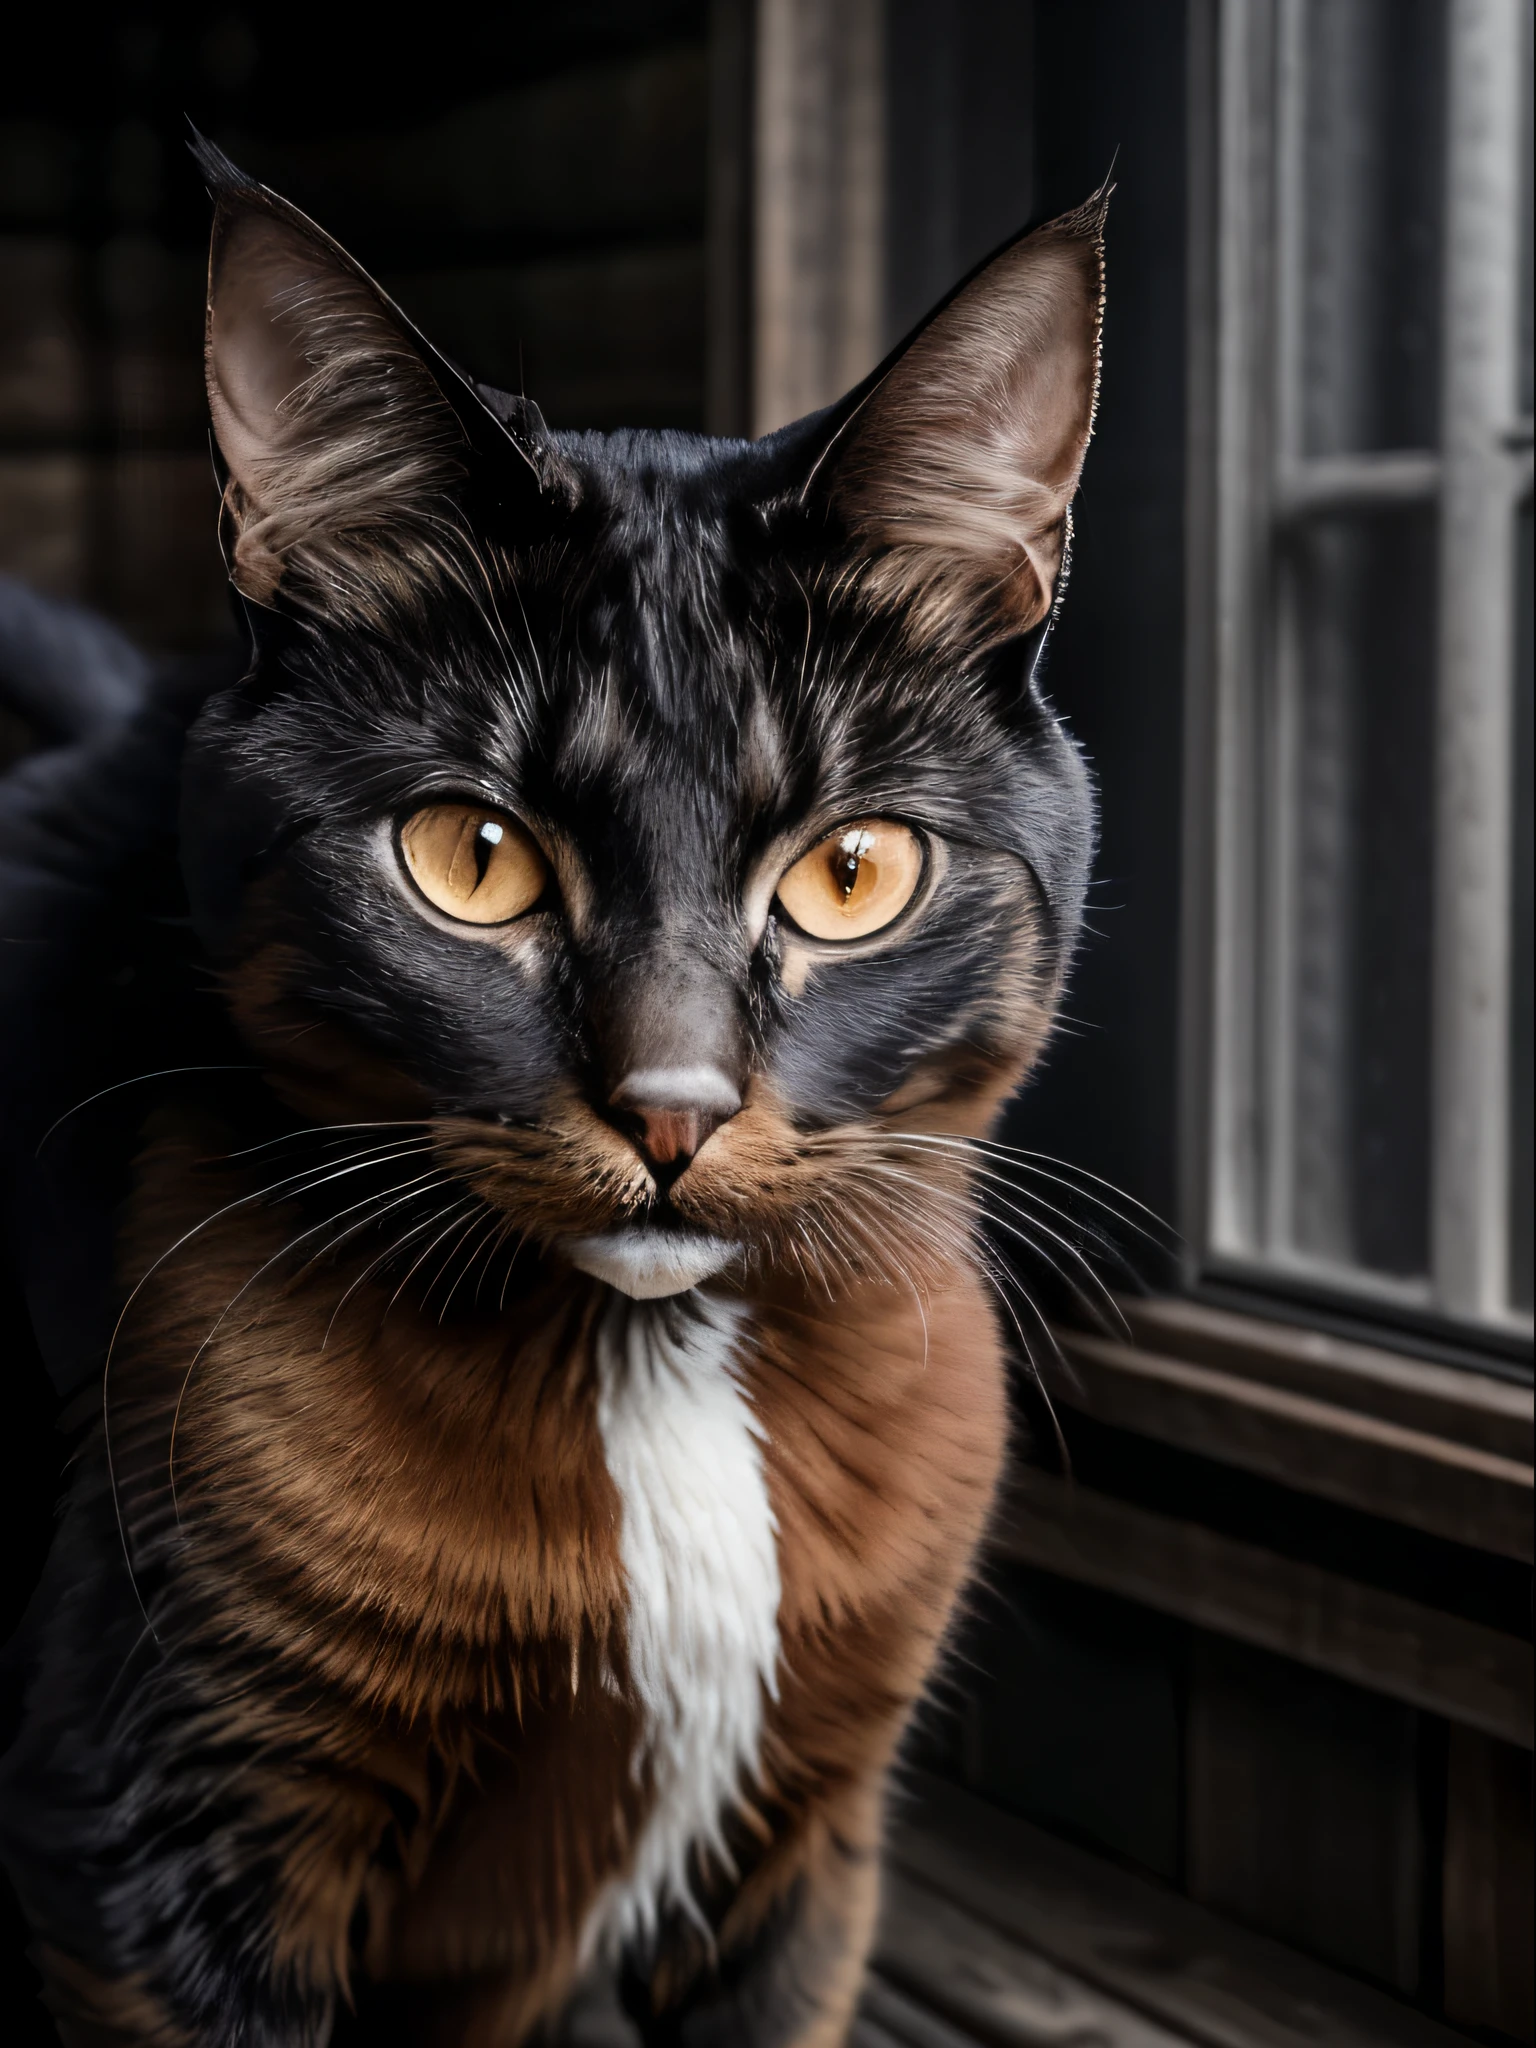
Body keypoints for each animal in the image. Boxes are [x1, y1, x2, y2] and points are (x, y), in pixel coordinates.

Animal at [0, 144, 1105, 2048]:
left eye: (853, 872)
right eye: (473, 858)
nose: (670, 1104)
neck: (655, 1370)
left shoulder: (804, 1849)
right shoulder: (153, 1837)